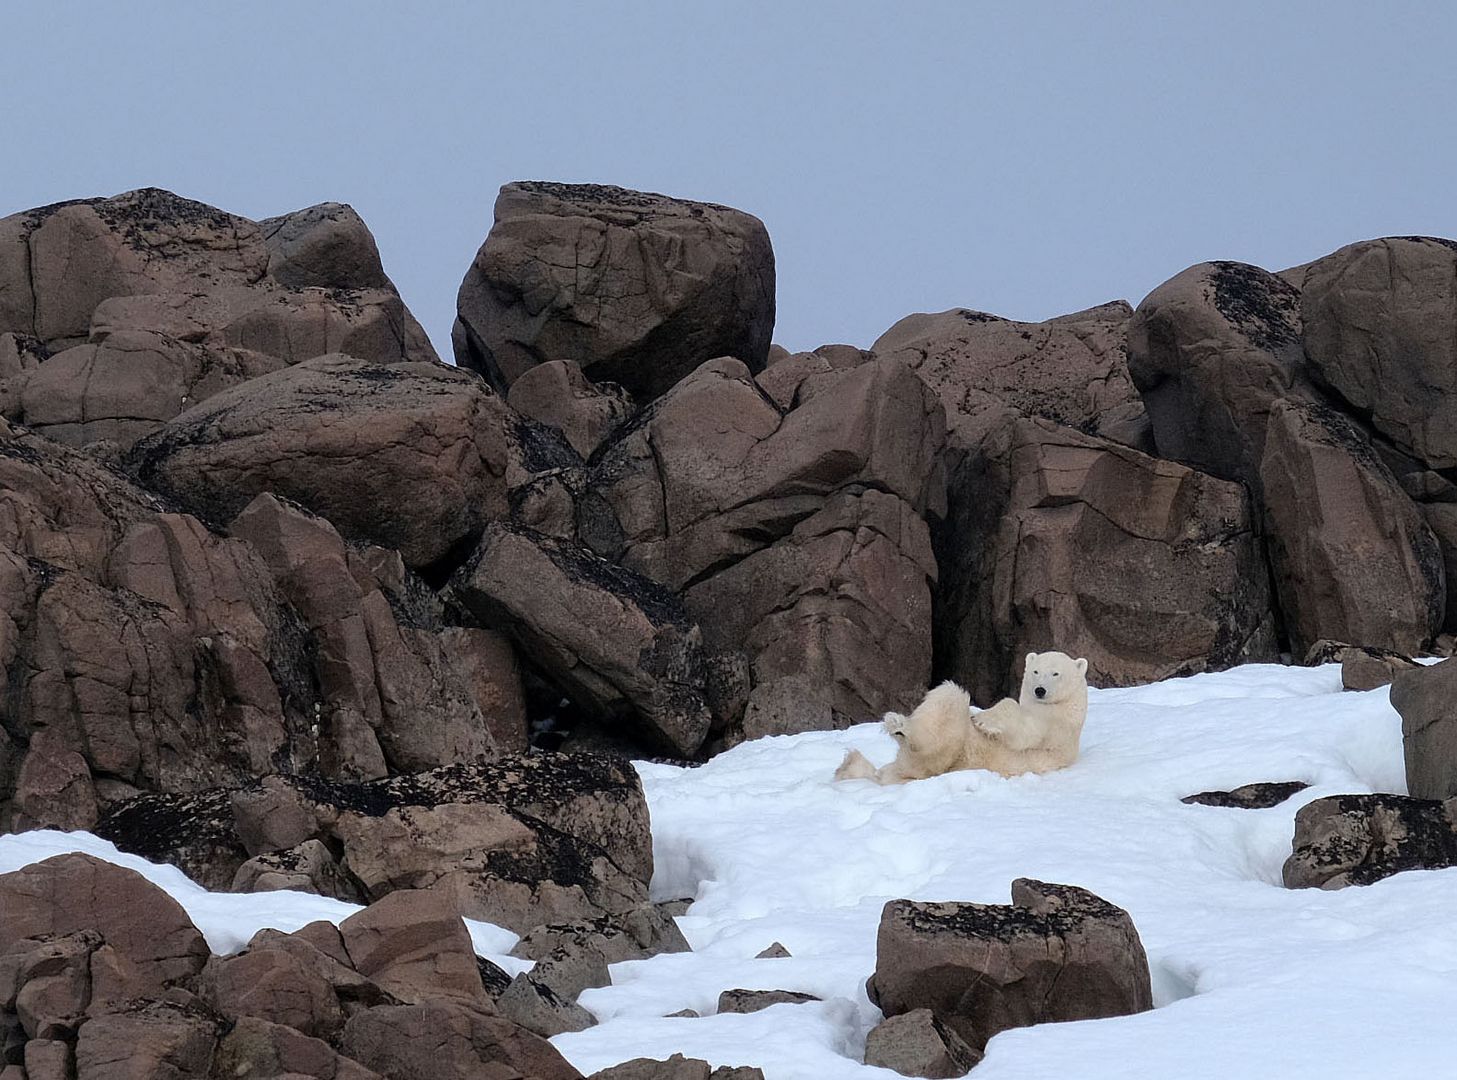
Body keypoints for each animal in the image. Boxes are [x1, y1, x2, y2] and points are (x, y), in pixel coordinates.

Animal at [839, 650, 1089, 781]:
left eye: (1055, 673)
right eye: (1035, 671)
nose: (1039, 690)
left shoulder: (1055, 725)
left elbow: (1025, 731)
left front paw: (982, 720)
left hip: (950, 753)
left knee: (950, 700)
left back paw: (899, 726)